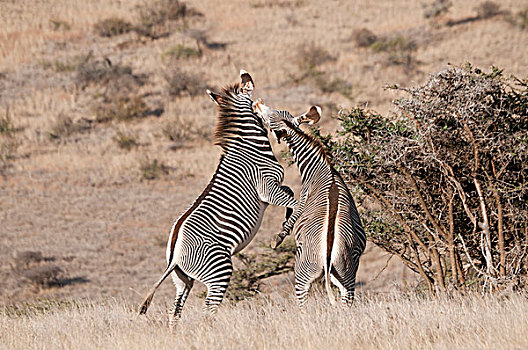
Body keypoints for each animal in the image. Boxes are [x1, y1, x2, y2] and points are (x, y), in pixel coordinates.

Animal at [139, 72, 296, 326]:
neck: (250, 147)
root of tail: (175, 255)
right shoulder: (267, 188)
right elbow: (295, 201)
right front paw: (281, 236)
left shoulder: (274, 187)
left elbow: (291, 195)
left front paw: (284, 228)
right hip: (219, 270)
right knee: (208, 310)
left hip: (183, 279)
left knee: (175, 311)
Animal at [254, 99, 366, 306]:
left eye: (269, 119)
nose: (257, 104)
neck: (320, 167)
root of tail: (328, 256)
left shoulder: (303, 196)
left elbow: (292, 216)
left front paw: (277, 239)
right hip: (347, 277)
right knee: (347, 302)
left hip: (302, 273)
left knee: (303, 303)